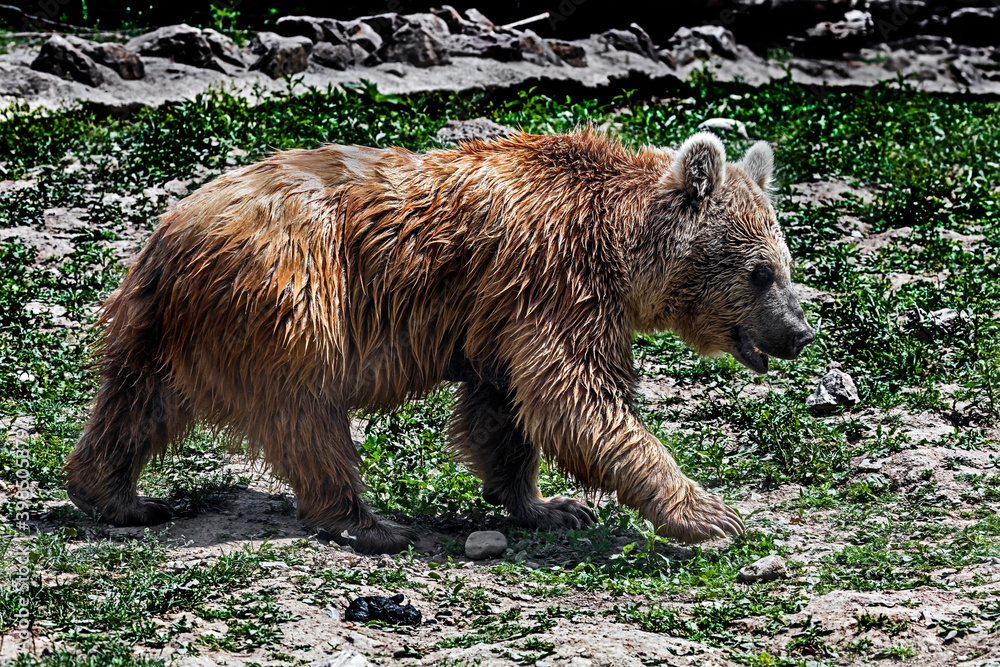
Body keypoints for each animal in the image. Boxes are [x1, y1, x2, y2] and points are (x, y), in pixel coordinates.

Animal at [64, 129, 815, 554]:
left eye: (785, 263)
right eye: (760, 271)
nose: (799, 333)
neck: (618, 244)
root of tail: (170, 233)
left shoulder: (503, 316)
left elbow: (504, 411)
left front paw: (548, 505)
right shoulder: (554, 281)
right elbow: (576, 399)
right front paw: (710, 514)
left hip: (166, 329)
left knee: (136, 405)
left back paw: (117, 495)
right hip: (290, 295)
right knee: (308, 411)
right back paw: (365, 521)